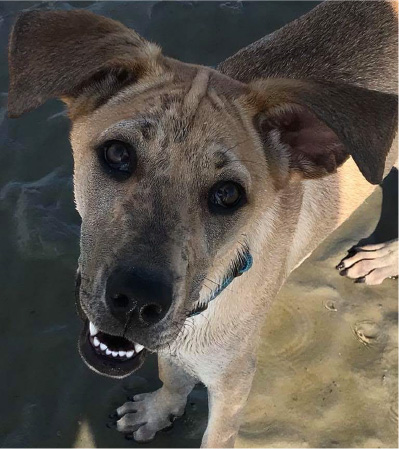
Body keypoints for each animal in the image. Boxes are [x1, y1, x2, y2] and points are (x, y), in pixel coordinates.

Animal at [7, 1, 398, 446]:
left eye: (228, 195)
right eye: (118, 153)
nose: (136, 301)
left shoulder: (233, 382)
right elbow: (171, 375)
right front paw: (159, 411)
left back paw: (383, 259)